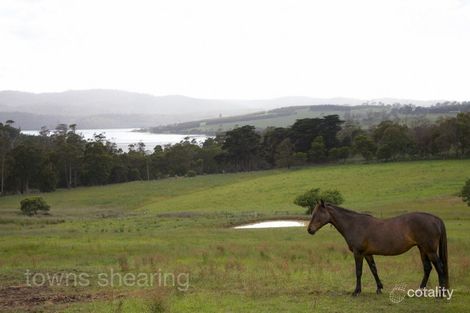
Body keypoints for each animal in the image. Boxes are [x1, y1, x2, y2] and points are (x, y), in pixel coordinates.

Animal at [306, 200, 450, 294]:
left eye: (317, 214)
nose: (309, 230)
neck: (354, 224)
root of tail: (435, 219)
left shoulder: (358, 253)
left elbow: (358, 271)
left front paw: (356, 291)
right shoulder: (367, 254)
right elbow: (374, 269)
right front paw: (379, 288)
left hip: (430, 251)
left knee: (439, 267)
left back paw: (441, 294)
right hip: (422, 249)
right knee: (427, 268)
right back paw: (420, 291)